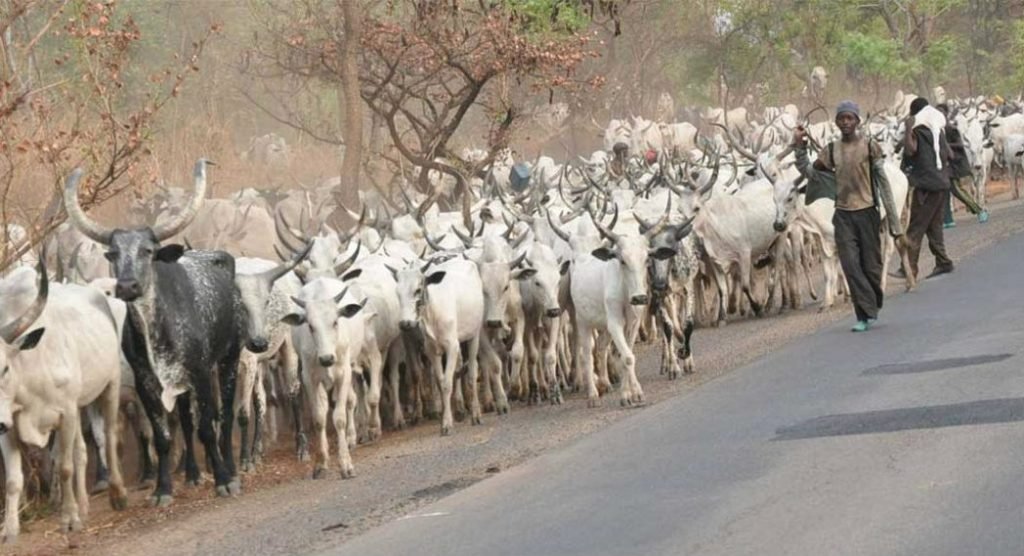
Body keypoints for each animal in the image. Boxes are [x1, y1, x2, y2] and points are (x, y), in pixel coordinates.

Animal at [64, 158, 247, 507]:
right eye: (113, 254)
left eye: (148, 250)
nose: (127, 286)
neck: (157, 327)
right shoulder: (147, 383)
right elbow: (162, 436)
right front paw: (163, 489)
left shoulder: (201, 372)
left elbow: (207, 427)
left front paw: (222, 479)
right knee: (187, 423)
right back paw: (192, 473)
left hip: (229, 359)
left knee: (225, 415)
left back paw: (230, 468)